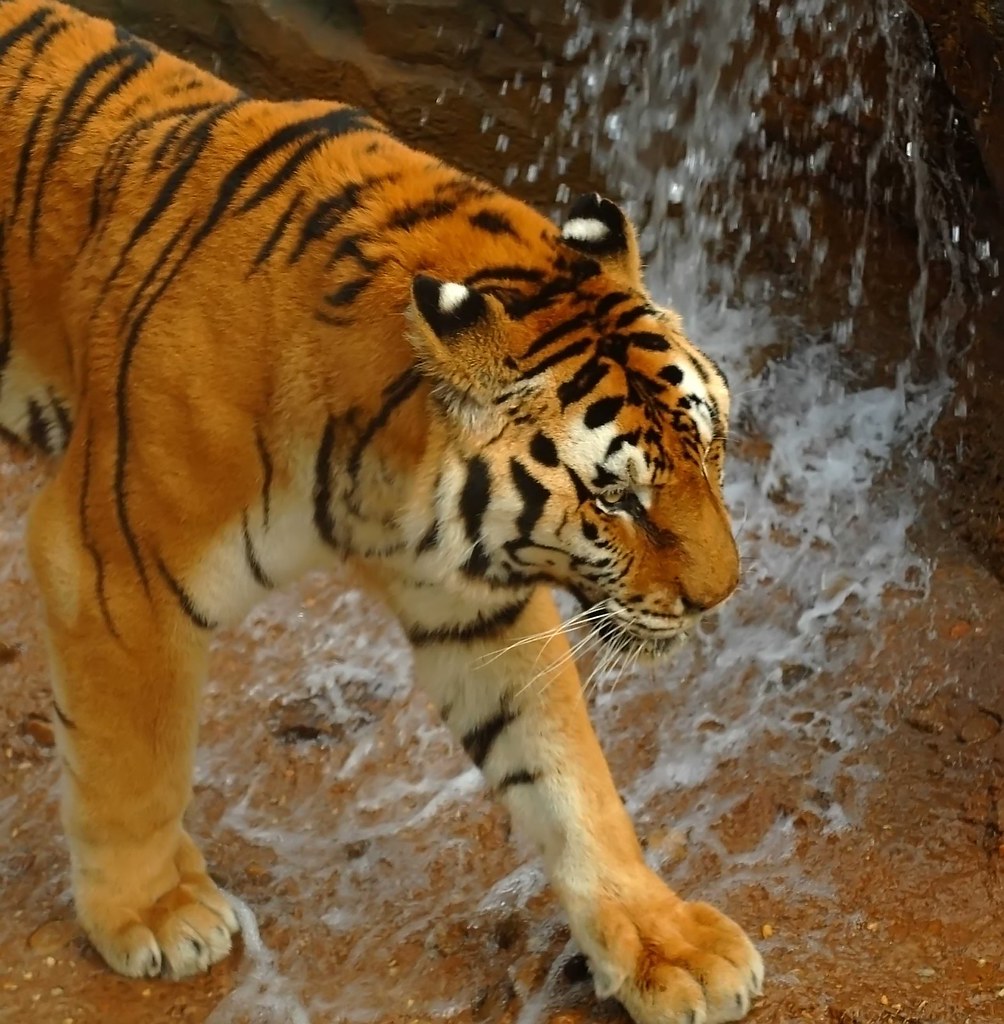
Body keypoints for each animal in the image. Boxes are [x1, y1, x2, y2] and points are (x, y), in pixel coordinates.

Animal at [0, 1, 763, 1021]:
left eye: (711, 450)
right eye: (616, 497)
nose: (721, 597)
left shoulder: (475, 600)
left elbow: (566, 774)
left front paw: (663, 942)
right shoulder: (113, 567)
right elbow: (135, 762)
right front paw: (154, 912)